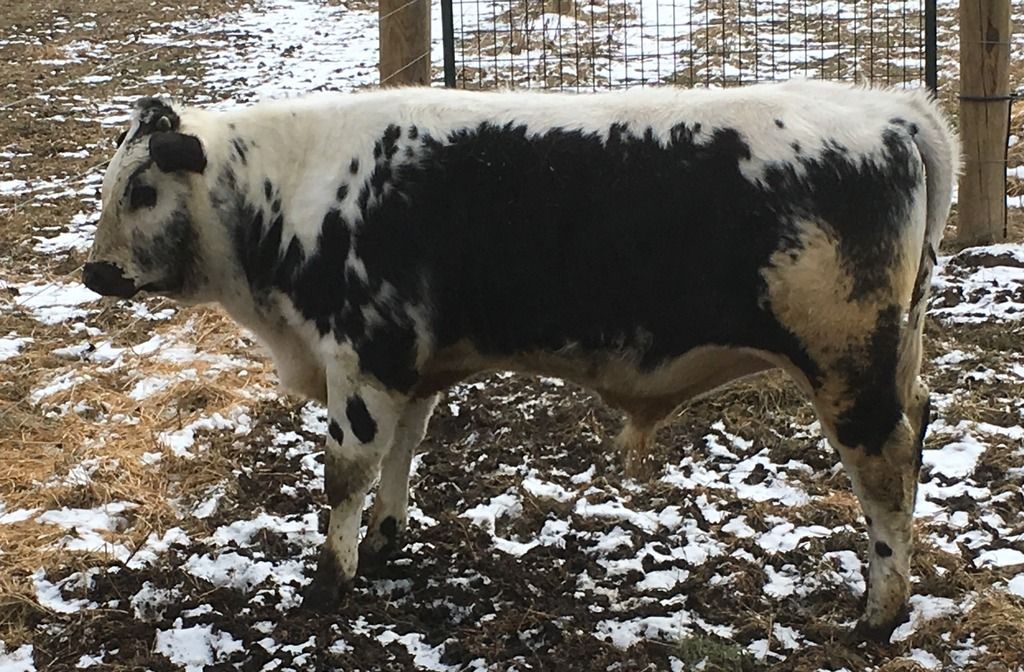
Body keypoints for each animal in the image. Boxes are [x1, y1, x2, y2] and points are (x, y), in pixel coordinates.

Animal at [83, 80, 958, 640]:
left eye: (142, 189)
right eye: (109, 182)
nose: (95, 272)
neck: (284, 189)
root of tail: (891, 110)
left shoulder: (361, 358)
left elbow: (344, 473)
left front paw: (330, 580)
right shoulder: (412, 366)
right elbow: (402, 452)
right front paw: (388, 540)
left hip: (849, 367)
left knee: (885, 476)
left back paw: (876, 616)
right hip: (893, 357)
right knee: (914, 443)